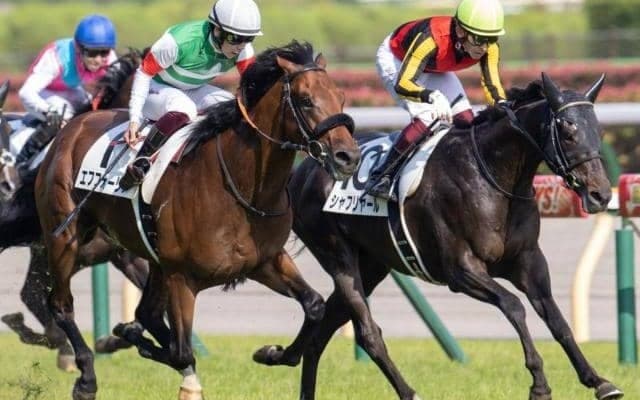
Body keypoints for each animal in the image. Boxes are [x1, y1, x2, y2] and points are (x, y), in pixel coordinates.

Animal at [35, 40, 360, 400]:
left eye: (341, 98)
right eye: (305, 100)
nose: (348, 157)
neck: (241, 188)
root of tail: (72, 128)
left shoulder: (265, 261)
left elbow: (314, 305)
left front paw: (272, 352)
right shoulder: (182, 277)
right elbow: (181, 352)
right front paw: (138, 344)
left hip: (155, 261)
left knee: (146, 313)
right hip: (65, 237)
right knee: (61, 304)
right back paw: (87, 377)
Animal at [276, 73, 623, 400]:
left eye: (599, 131)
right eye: (568, 132)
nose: (601, 195)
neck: (492, 175)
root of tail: (303, 170)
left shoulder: (528, 262)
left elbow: (556, 318)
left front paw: (598, 381)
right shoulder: (461, 270)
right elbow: (514, 306)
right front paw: (539, 383)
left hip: (372, 265)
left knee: (323, 329)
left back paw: (282, 358)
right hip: (337, 254)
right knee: (366, 332)